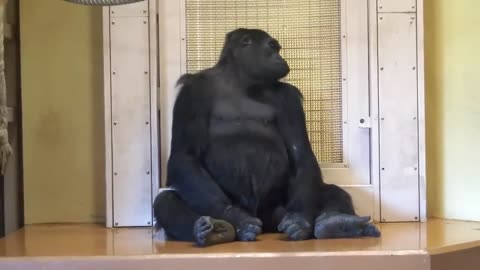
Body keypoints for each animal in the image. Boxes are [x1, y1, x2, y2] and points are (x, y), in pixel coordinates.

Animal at [154, 28, 378, 247]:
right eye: (272, 46)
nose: (281, 58)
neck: (239, 81)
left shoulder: (288, 97)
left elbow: (301, 153)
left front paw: (299, 219)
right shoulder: (192, 92)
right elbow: (185, 156)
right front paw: (235, 216)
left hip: (276, 212)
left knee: (330, 191)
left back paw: (334, 223)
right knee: (165, 201)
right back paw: (213, 231)